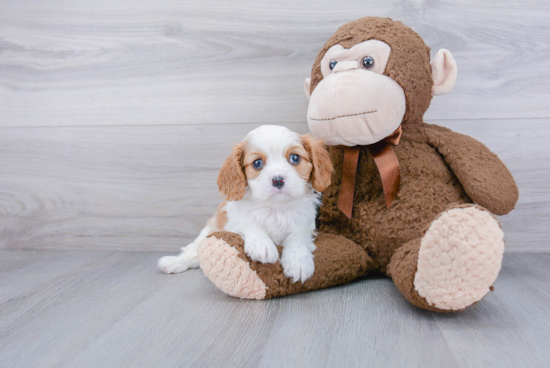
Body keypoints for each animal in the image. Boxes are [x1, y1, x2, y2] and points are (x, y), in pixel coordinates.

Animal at [157, 125, 334, 284]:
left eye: (295, 158)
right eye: (257, 163)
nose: (277, 179)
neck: (275, 207)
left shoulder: (305, 223)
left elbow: (297, 236)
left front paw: (299, 262)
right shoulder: (232, 221)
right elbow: (249, 223)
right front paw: (262, 245)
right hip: (208, 230)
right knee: (194, 252)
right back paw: (174, 262)